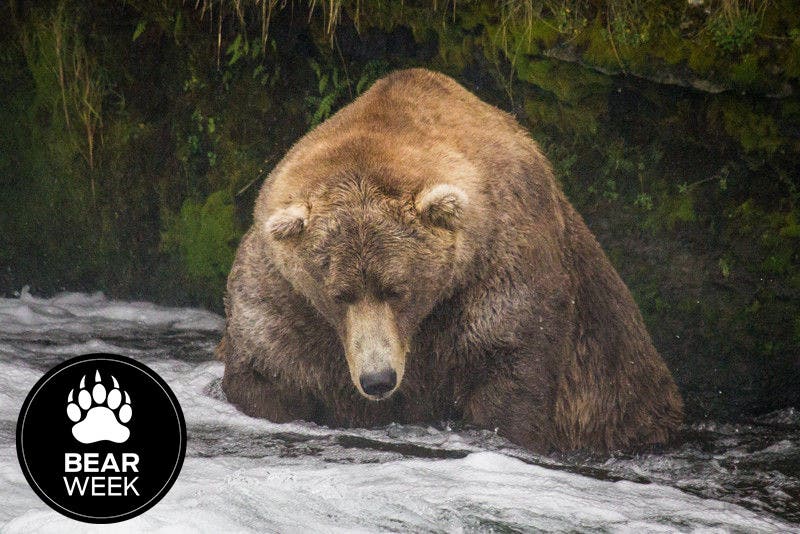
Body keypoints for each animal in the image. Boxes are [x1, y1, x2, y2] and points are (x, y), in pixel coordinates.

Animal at [217, 68, 683, 454]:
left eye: (398, 289)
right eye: (339, 294)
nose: (378, 380)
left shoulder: (497, 269)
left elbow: (512, 371)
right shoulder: (285, 297)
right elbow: (266, 364)